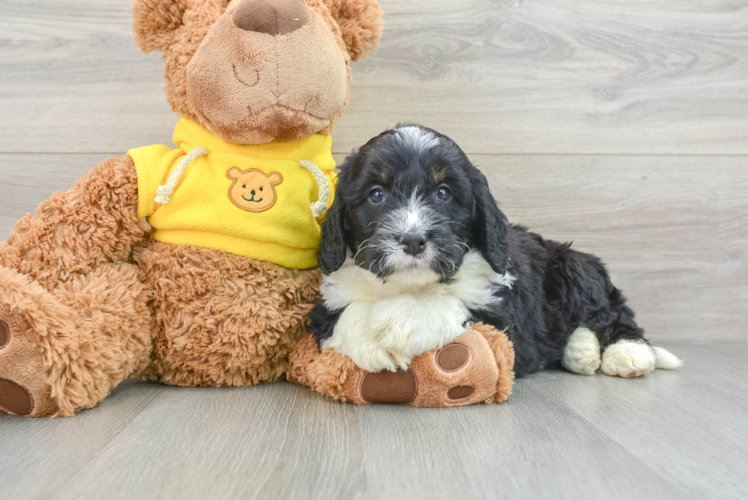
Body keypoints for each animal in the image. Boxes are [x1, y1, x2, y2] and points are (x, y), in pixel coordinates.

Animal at [306, 125, 680, 378]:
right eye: (376, 194)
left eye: (443, 192)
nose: (412, 240)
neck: (409, 286)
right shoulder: (328, 303)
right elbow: (344, 316)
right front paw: (372, 343)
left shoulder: (501, 318)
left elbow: (450, 306)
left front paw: (396, 323)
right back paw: (581, 350)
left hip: (574, 266)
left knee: (613, 312)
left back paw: (628, 353)